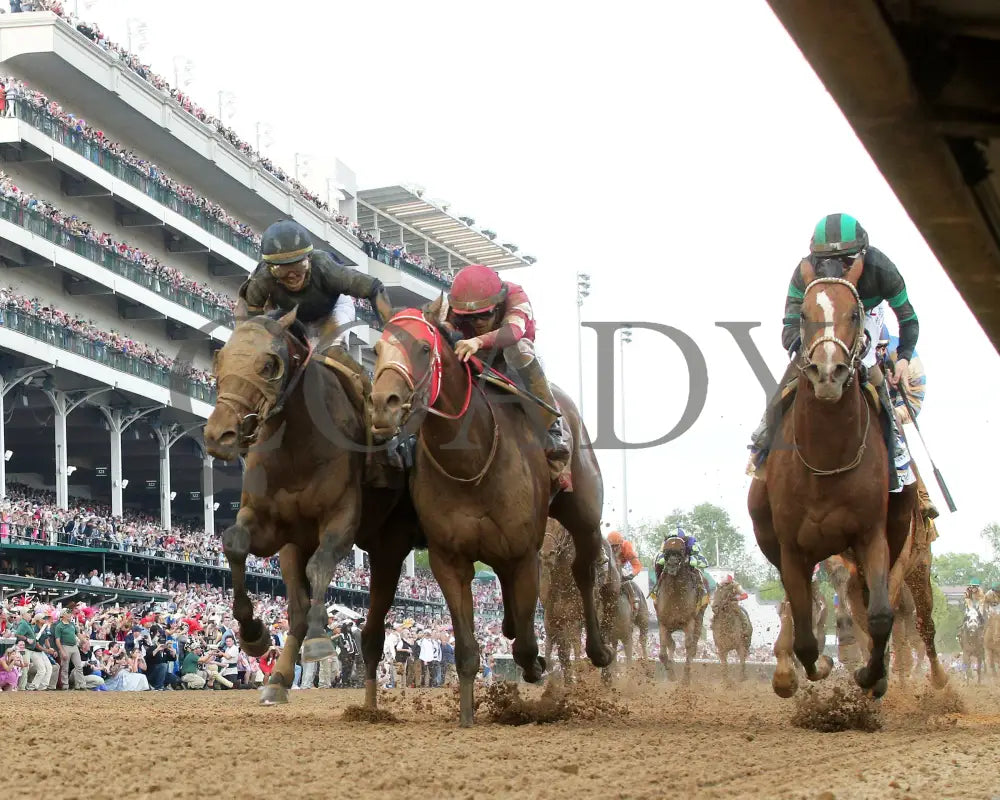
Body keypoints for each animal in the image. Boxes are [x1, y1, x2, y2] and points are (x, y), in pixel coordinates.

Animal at [652, 536, 708, 680]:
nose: (671, 564)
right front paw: (671, 675)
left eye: (681, 549)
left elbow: (689, 647)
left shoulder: (689, 622)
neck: (675, 597)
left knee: (693, 646)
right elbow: (662, 654)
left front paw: (685, 678)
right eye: (666, 550)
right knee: (672, 644)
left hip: (699, 619)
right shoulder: (663, 623)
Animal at [748, 258, 916, 700]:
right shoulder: (792, 547)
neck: (826, 460)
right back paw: (787, 671)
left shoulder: (871, 535)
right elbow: (806, 633)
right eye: (804, 316)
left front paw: (871, 676)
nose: (827, 373)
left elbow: (880, 615)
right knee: (798, 607)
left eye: (854, 314)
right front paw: (818, 665)